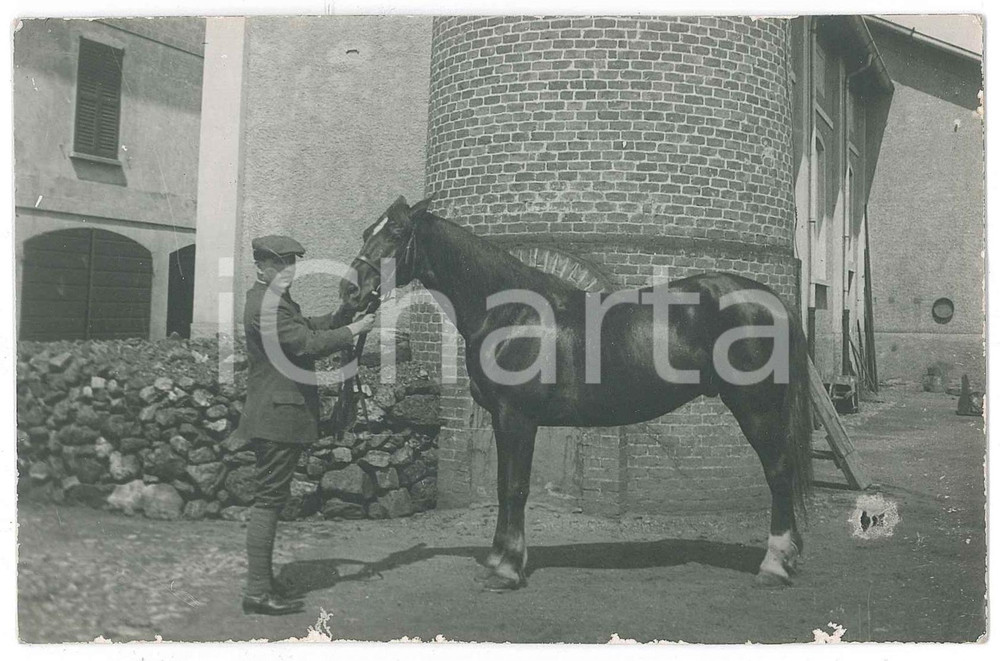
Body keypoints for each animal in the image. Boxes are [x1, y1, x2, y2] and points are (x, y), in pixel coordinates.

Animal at [339, 195, 813, 592]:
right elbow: (503, 485)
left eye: (397, 232)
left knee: (778, 472)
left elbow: (515, 487)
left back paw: (774, 566)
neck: (513, 314)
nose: (351, 291)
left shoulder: (517, 417)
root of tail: (773, 301)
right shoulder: (500, 418)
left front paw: (507, 570)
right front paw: (499, 560)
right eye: (365, 231)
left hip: (756, 407)